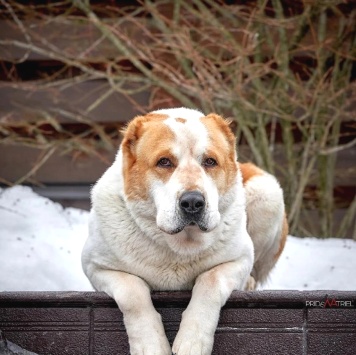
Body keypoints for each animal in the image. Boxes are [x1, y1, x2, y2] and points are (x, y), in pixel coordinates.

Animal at [82, 108, 288, 355]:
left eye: (210, 161)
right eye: (164, 162)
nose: (192, 202)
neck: (179, 244)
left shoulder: (239, 259)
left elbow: (210, 280)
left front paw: (192, 341)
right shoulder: (96, 266)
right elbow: (133, 292)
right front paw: (151, 344)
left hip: (267, 193)